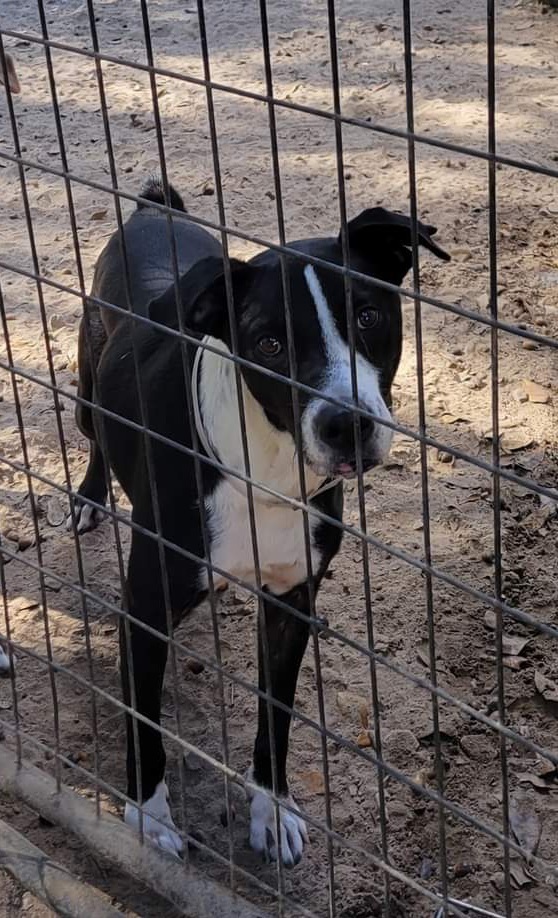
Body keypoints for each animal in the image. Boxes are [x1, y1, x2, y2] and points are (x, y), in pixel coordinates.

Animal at [74, 181, 450, 868]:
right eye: (268, 344)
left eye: (367, 316)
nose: (347, 424)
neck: (267, 474)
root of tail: (152, 210)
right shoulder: (144, 610)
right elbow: (144, 724)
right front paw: (149, 818)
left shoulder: (291, 602)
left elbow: (276, 715)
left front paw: (272, 812)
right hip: (90, 388)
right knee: (93, 436)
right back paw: (89, 497)